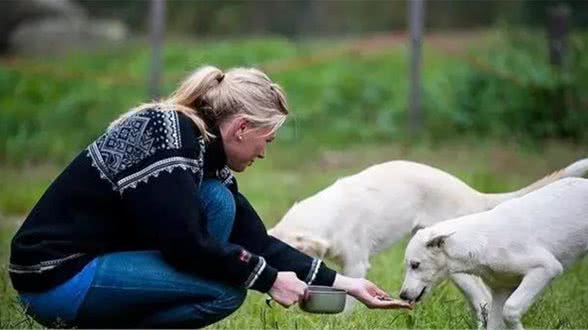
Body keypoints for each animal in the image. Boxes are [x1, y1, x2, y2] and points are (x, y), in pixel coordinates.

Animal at [400, 178, 588, 330]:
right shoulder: (500, 290)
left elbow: (510, 310)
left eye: (415, 265)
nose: (402, 295)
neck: (482, 241)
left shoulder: (546, 268)